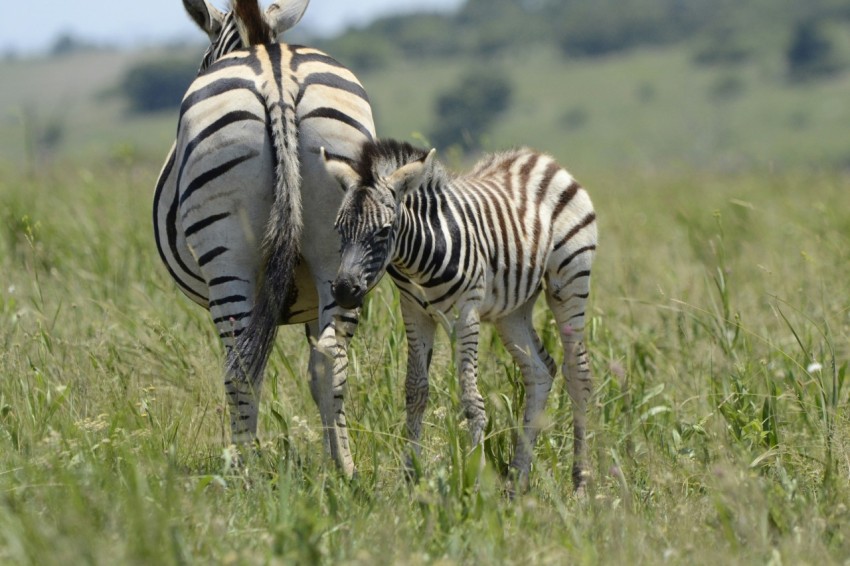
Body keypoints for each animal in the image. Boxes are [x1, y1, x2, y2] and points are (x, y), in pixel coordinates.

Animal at [152, 0, 376, 476]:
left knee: (239, 366)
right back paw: (345, 471)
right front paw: (330, 456)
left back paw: (243, 471)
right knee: (331, 359)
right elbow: (314, 371)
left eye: (203, 59)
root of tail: (276, 75)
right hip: (339, 243)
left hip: (225, 253)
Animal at [321, 139, 597, 491]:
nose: (344, 291)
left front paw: (476, 480)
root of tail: (541, 159)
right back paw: (516, 480)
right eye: (338, 229)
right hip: (513, 309)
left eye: (383, 231)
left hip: (571, 281)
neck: (417, 259)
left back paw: (580, 483)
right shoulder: (414, 310)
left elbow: (470, 399)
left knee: (577, 373)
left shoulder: (467, 311)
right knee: (539, 371)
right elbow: (415, 391)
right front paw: (411, 477)